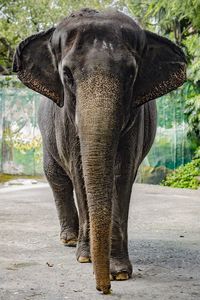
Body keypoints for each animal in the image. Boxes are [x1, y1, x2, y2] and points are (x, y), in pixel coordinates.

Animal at [12, 7, 186, 296]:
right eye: (67, 75)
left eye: (131, 74)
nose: (103, 289)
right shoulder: (65, 120)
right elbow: (80, 171)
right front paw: (85, 257)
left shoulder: (135, 118)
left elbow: (122, 173)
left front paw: (120, 272)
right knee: (57, 177)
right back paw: (70, 240)